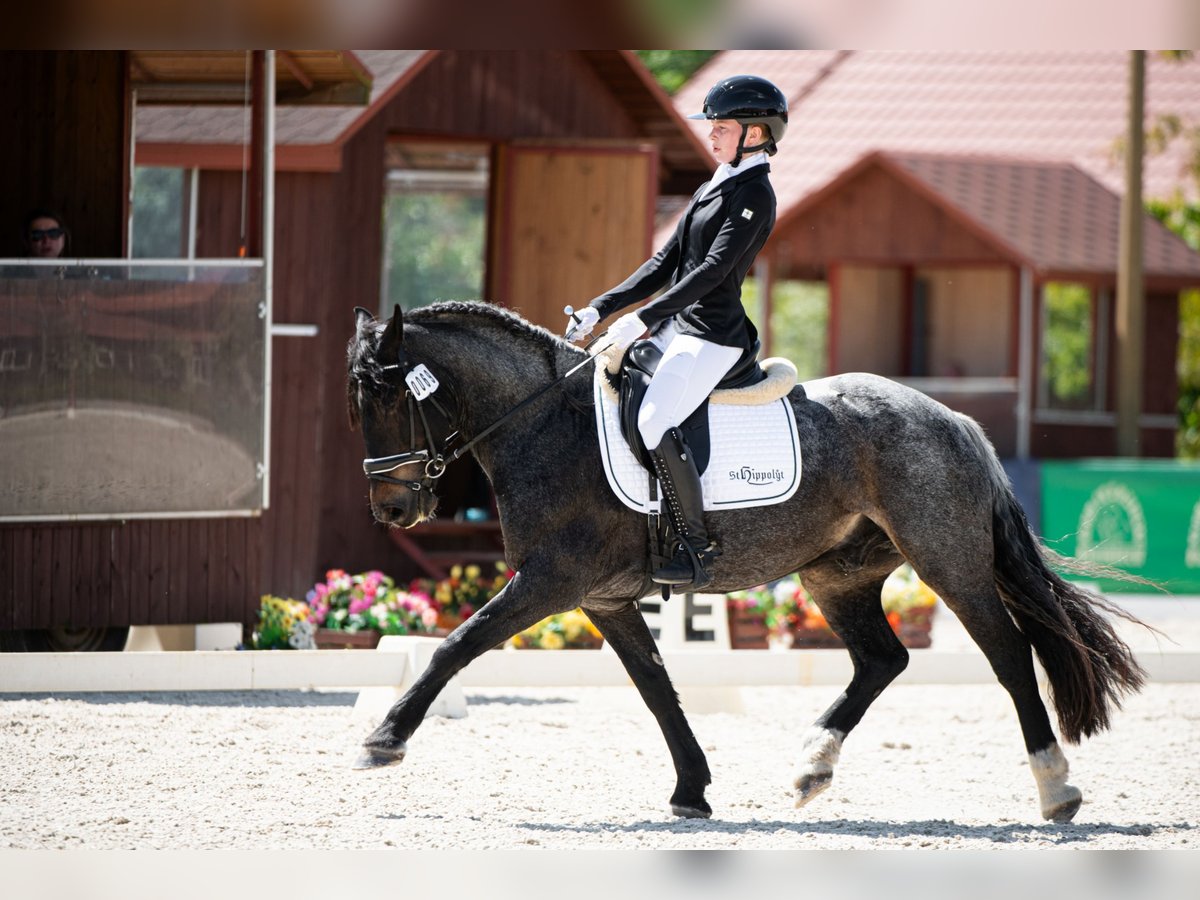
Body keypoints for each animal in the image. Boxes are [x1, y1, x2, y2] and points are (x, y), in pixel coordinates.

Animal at [348, 301, 1142, 825]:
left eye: (384, 397)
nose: (390, 509)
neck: (543, 422)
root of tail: (953, 419)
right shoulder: (603, 597)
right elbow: (657, 688)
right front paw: (692, 790)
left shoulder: (551, 582)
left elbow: (456, 644)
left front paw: (382, 742)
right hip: (836, 573)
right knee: (883, 659)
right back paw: (812, 768)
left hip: (948, 560)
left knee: (1009, 654)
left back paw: (1056, 789)